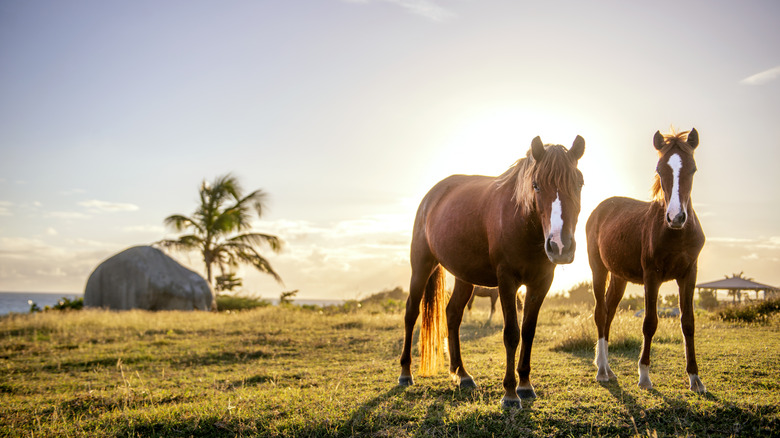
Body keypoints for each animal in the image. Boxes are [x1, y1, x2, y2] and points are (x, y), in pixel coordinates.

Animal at [398, 135, 586, 409]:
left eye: (579, 183)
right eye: (536, 185)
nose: (560, 245)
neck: (522, 223)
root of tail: (431, 196)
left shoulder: (541, 282)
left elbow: (528, 332)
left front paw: (525, 385)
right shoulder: (506, 281)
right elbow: (511, 334)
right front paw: (509, 393)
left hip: (464, 277)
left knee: (452, 314)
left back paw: (462, 374)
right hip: (421, 265)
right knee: (411, 312)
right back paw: (405, 372)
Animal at [586, 128, 706, 393]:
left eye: (693, 169)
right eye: (660, 170)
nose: (676, 217)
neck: (676, 233)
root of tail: (600, 209)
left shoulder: (689, 274)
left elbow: (688, 322)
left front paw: (695, 378)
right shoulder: (653, 275)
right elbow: (650, 322)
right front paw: (644, 375)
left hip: (619, 277)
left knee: (609, 312)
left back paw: (607, 367)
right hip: (598, 269)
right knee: (600, 312)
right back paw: (602, 370)